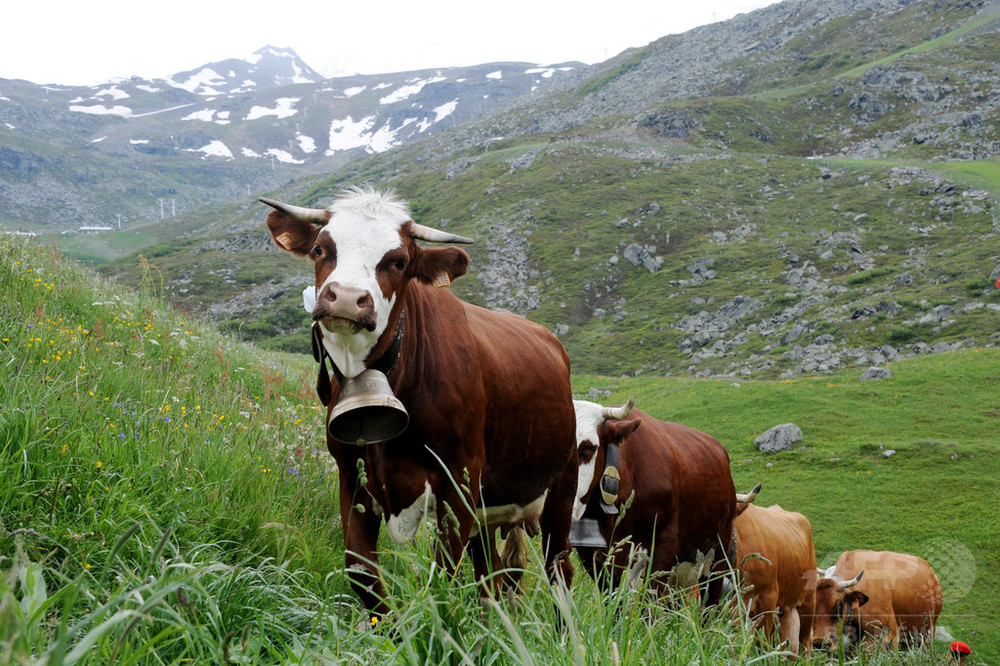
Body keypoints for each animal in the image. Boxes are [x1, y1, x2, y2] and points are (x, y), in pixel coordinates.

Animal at [262, 187, 580, 616]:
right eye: (319, 249)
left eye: (398, 261)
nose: (346, 298)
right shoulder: (352, 474)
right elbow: (361, 573)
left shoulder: (457, 481)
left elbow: (443, 578)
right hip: (491, 506)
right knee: (491, 574)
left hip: (560, 486)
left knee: (558, 566)